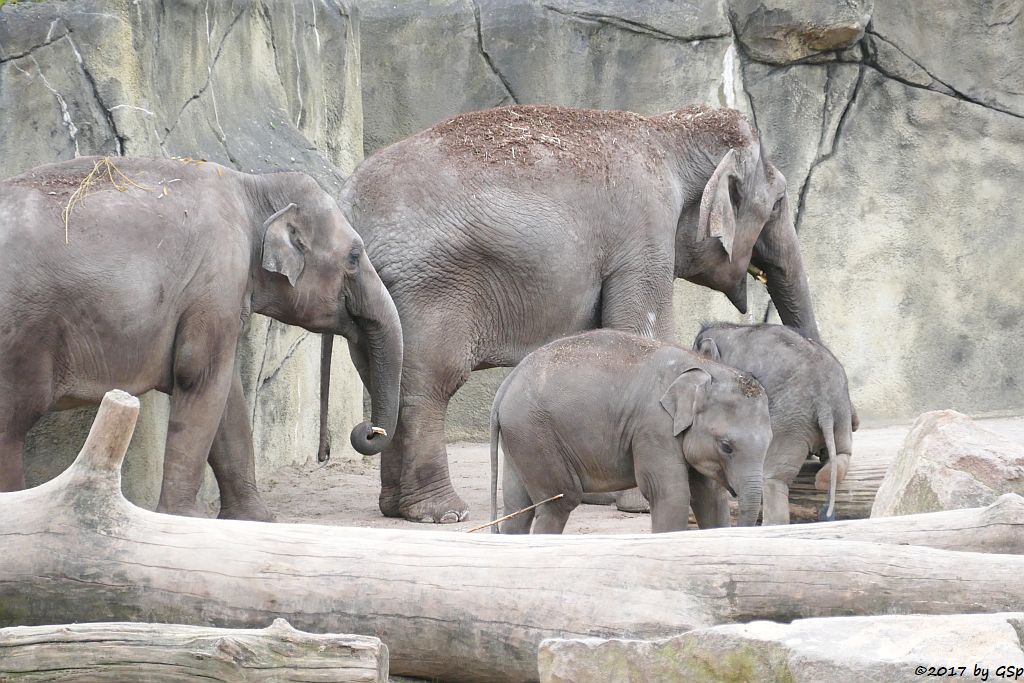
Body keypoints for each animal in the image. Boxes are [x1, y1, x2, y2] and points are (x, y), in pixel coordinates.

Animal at [0, 157, 399, 520]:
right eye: (354, 257)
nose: (366, 430)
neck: (254, 186)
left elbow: (228, 396)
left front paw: (255, 520)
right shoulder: (216, 280)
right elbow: (200, 378)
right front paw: (182, 518)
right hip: (19, 338)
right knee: (10, 428)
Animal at [487, 329, 770, 532]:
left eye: (769, 443)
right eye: (726, 446)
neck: (703, 366)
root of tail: (506, 384)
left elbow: (710, 498)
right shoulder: (653, 428)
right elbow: (670, 494)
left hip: (521, 437)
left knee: (518, 506)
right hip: (536, 433)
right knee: (559, 502)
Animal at [696, 323, 856, 528]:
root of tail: (823, 401)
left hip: (788, 422)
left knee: (773, 478)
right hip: (840, 411)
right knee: (841, 454)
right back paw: (824, 479)